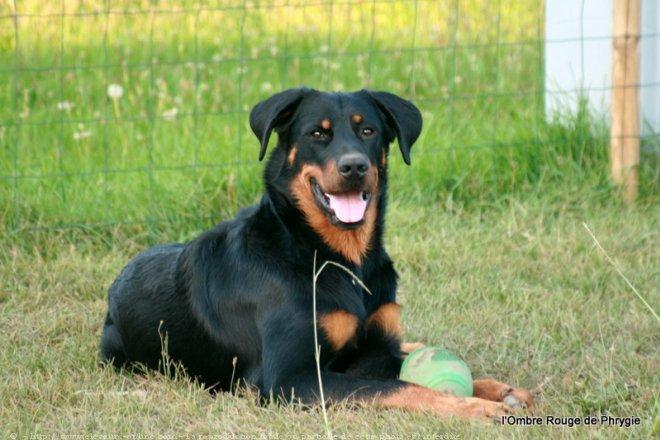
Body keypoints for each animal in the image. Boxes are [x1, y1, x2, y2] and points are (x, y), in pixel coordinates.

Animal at [100, 87, 532, 422]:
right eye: (317, 134)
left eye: (368, 130)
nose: (354, 166)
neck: (335, 258)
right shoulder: (289, 379)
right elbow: (391, 386)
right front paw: (476, 407)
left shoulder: (376, 347)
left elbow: (395, 370)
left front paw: (496, 390)